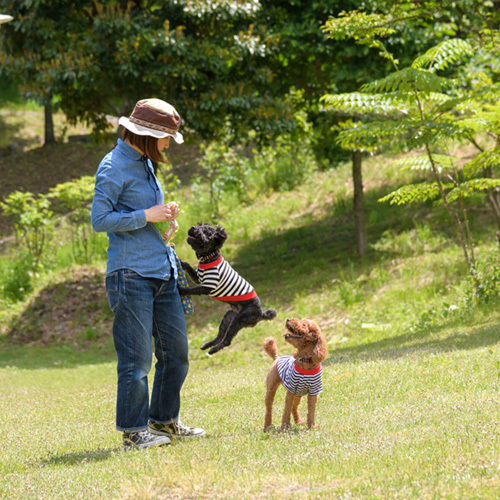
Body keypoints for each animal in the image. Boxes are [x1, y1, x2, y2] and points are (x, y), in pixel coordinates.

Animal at [178, 223, 278, 356]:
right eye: (200, 226)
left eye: (205, 233)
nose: (193, 228)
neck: (209, 257)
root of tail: (261, 314)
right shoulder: (198, 278)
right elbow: (189, 268)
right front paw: (181, 262)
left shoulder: (207, 286)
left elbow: (193, 290)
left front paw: (182, 290)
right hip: (228, 317)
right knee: (220, 336)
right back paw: (207, 345)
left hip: (238, 320)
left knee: (227, 341)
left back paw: (213, 350)